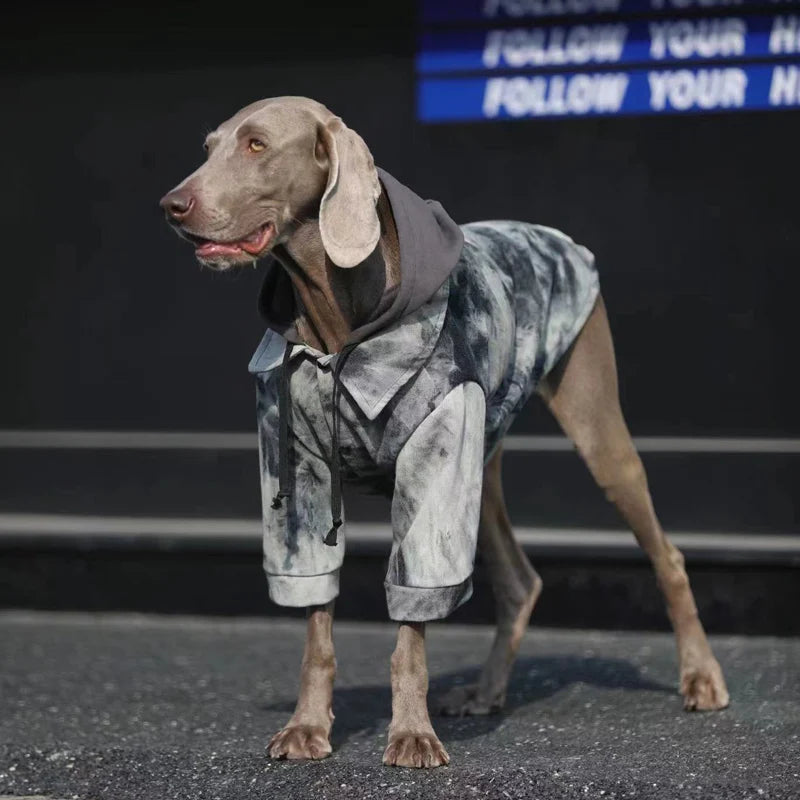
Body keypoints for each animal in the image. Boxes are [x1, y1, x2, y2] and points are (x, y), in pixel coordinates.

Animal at [159, 97, 728, 772]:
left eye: (256, 145)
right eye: (209, 147)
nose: (172, 205)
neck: (340, 325)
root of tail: (559, 237)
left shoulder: (433, 466)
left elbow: (413, 619)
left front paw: (411, 735)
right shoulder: (298, 472)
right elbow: (316, 619)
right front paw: (307, 726)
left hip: (593, 427)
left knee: (666, 555)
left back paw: (701, 677)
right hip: (482, 462)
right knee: (520, 581)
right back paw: (486, 692)